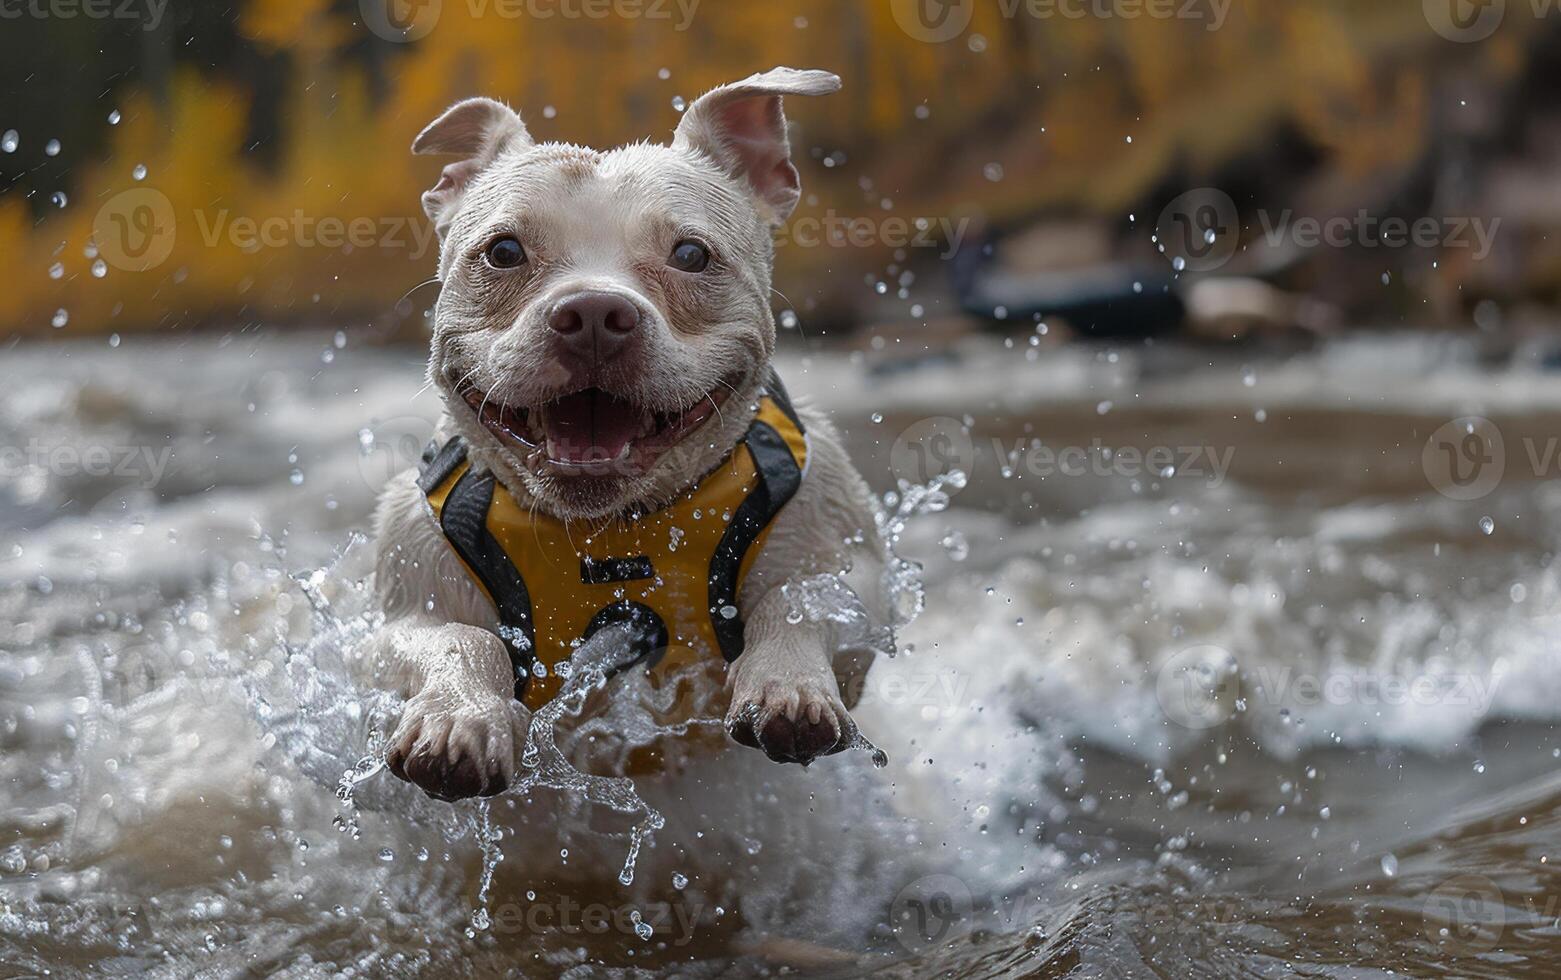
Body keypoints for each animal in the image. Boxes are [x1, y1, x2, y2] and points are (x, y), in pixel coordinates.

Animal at [359, 69, 886, 805]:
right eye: (503, 251)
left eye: (691, 254)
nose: (592, 313)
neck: (610, 527)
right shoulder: (401, 613)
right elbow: (458, 638)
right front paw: (459, 718)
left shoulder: (849, 569)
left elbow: (802, 602)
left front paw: (787, 685)